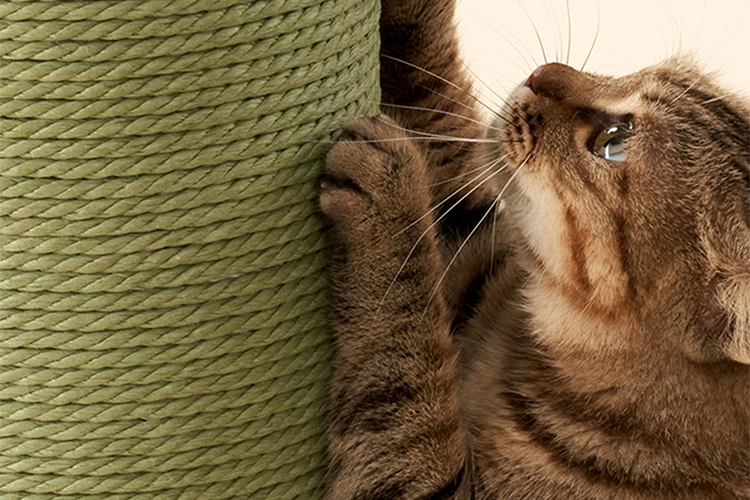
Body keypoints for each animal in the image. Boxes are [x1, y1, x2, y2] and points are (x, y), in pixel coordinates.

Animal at [318, 1, 750, 498]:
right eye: (633, 74)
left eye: (614, 142)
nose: (544, 72)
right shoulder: (477, 252)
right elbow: (429, 89)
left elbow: (404, 377)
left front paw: (392, 195)